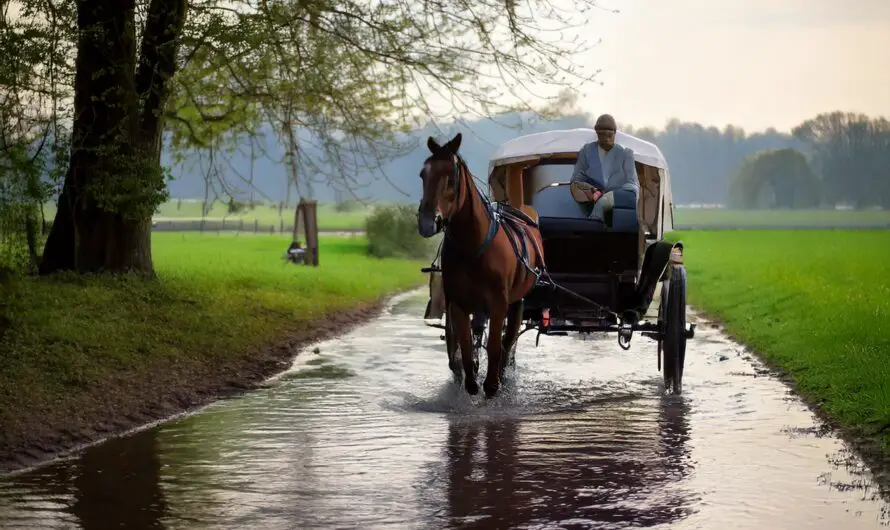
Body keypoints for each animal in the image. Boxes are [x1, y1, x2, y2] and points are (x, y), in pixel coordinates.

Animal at [414, 132, 540, 396]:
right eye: (423, 174)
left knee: (508, 339)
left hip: (516, 300)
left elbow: (495, 345)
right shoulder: (458, 303)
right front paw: (471, 380)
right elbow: (464, 342)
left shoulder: (499, 303)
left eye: (451, 177)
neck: (472, 247)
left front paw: (492, 385)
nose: (427, 223)